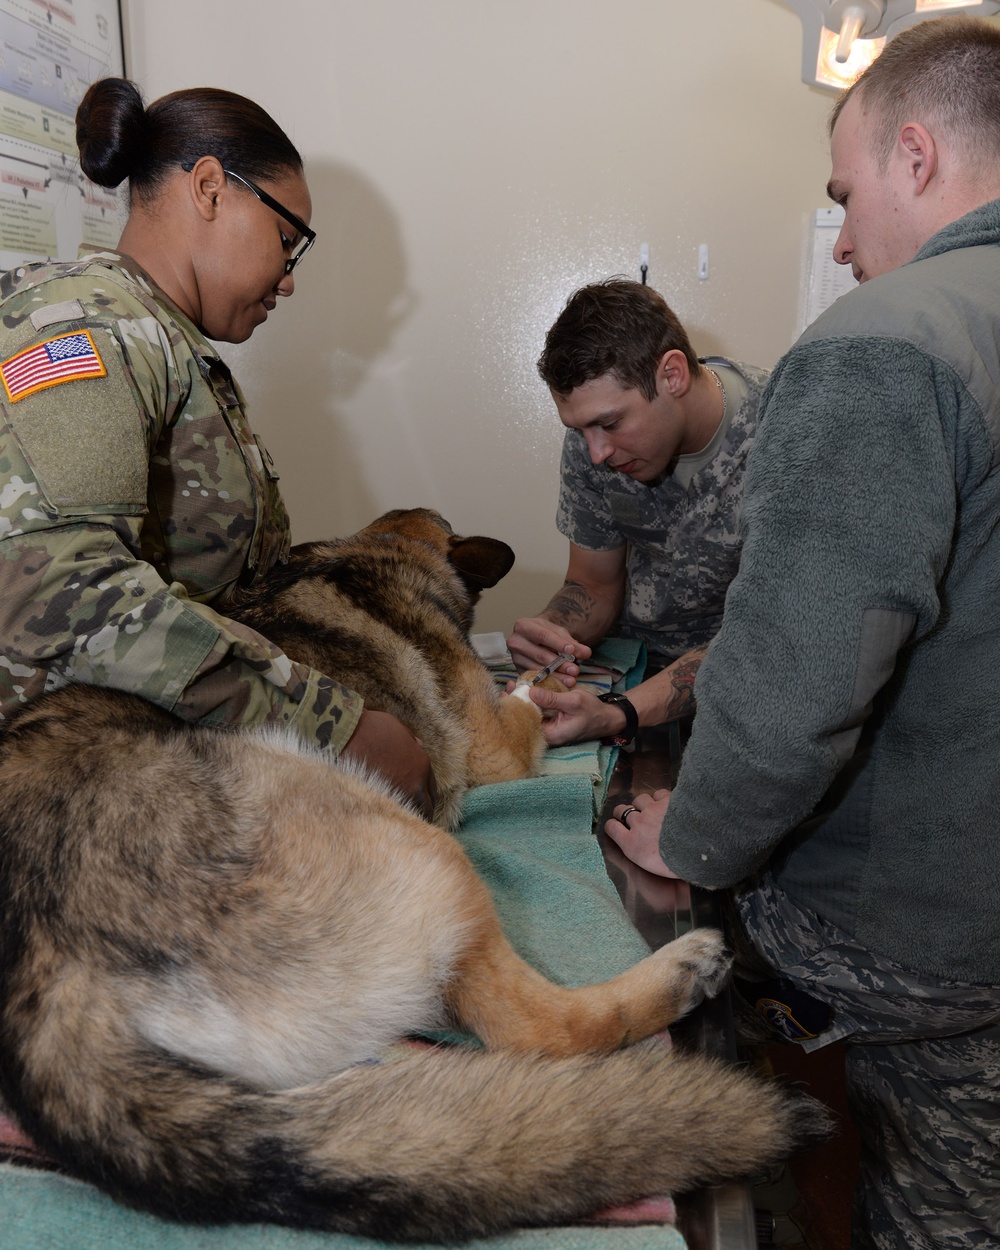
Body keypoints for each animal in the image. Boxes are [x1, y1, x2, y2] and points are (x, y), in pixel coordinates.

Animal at [0, 507, 830, 1240]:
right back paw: (681, 972)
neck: (365, 554)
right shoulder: (492, 741)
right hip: (423, 850)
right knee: (542, 1028)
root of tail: (48, 986)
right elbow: (519, 706)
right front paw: (550, 682)